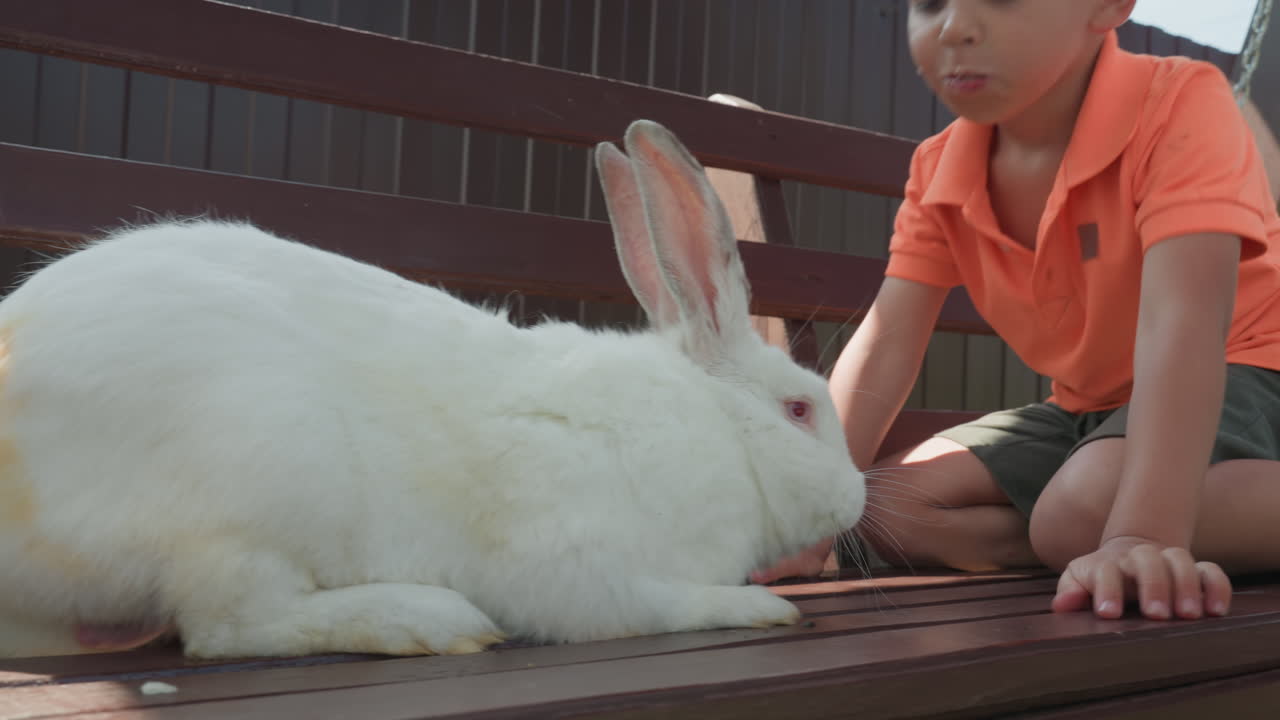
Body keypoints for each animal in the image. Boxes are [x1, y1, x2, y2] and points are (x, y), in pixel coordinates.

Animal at [0, 119, 866, 660]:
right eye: (798, 409)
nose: (858, 496)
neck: (711, 428)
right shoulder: (582, 570)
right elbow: (657, 606)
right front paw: (761, 608)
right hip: (248, 494)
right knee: (233, 627)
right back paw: (427, 621)